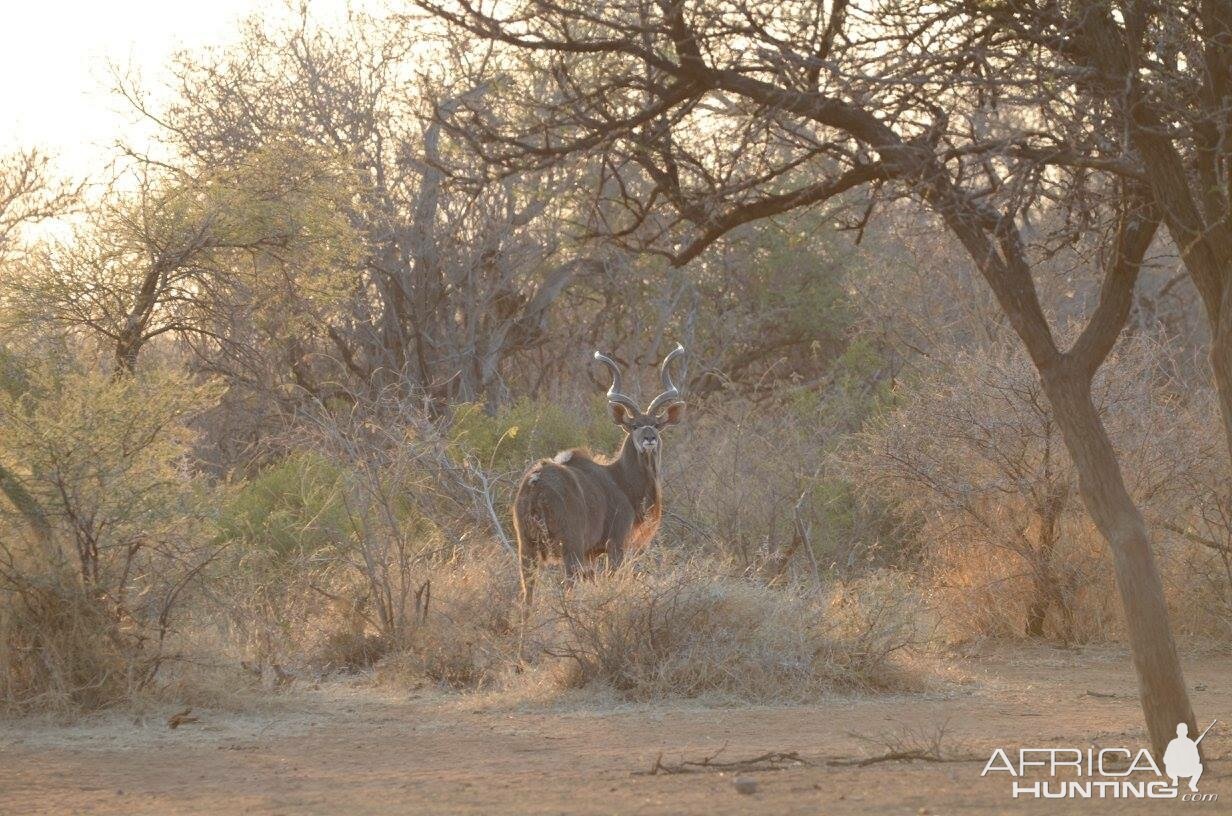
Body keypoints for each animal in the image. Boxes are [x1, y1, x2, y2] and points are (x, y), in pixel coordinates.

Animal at [507, 345, 684, 606]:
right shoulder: (616, 544)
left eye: (656, 425)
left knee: (526, 595)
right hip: (570, 548)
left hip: (527, 548)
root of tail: (535, 484)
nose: (649, 438)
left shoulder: (591, 553)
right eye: (634, 426)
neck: (621, 480)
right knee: (567, 587)